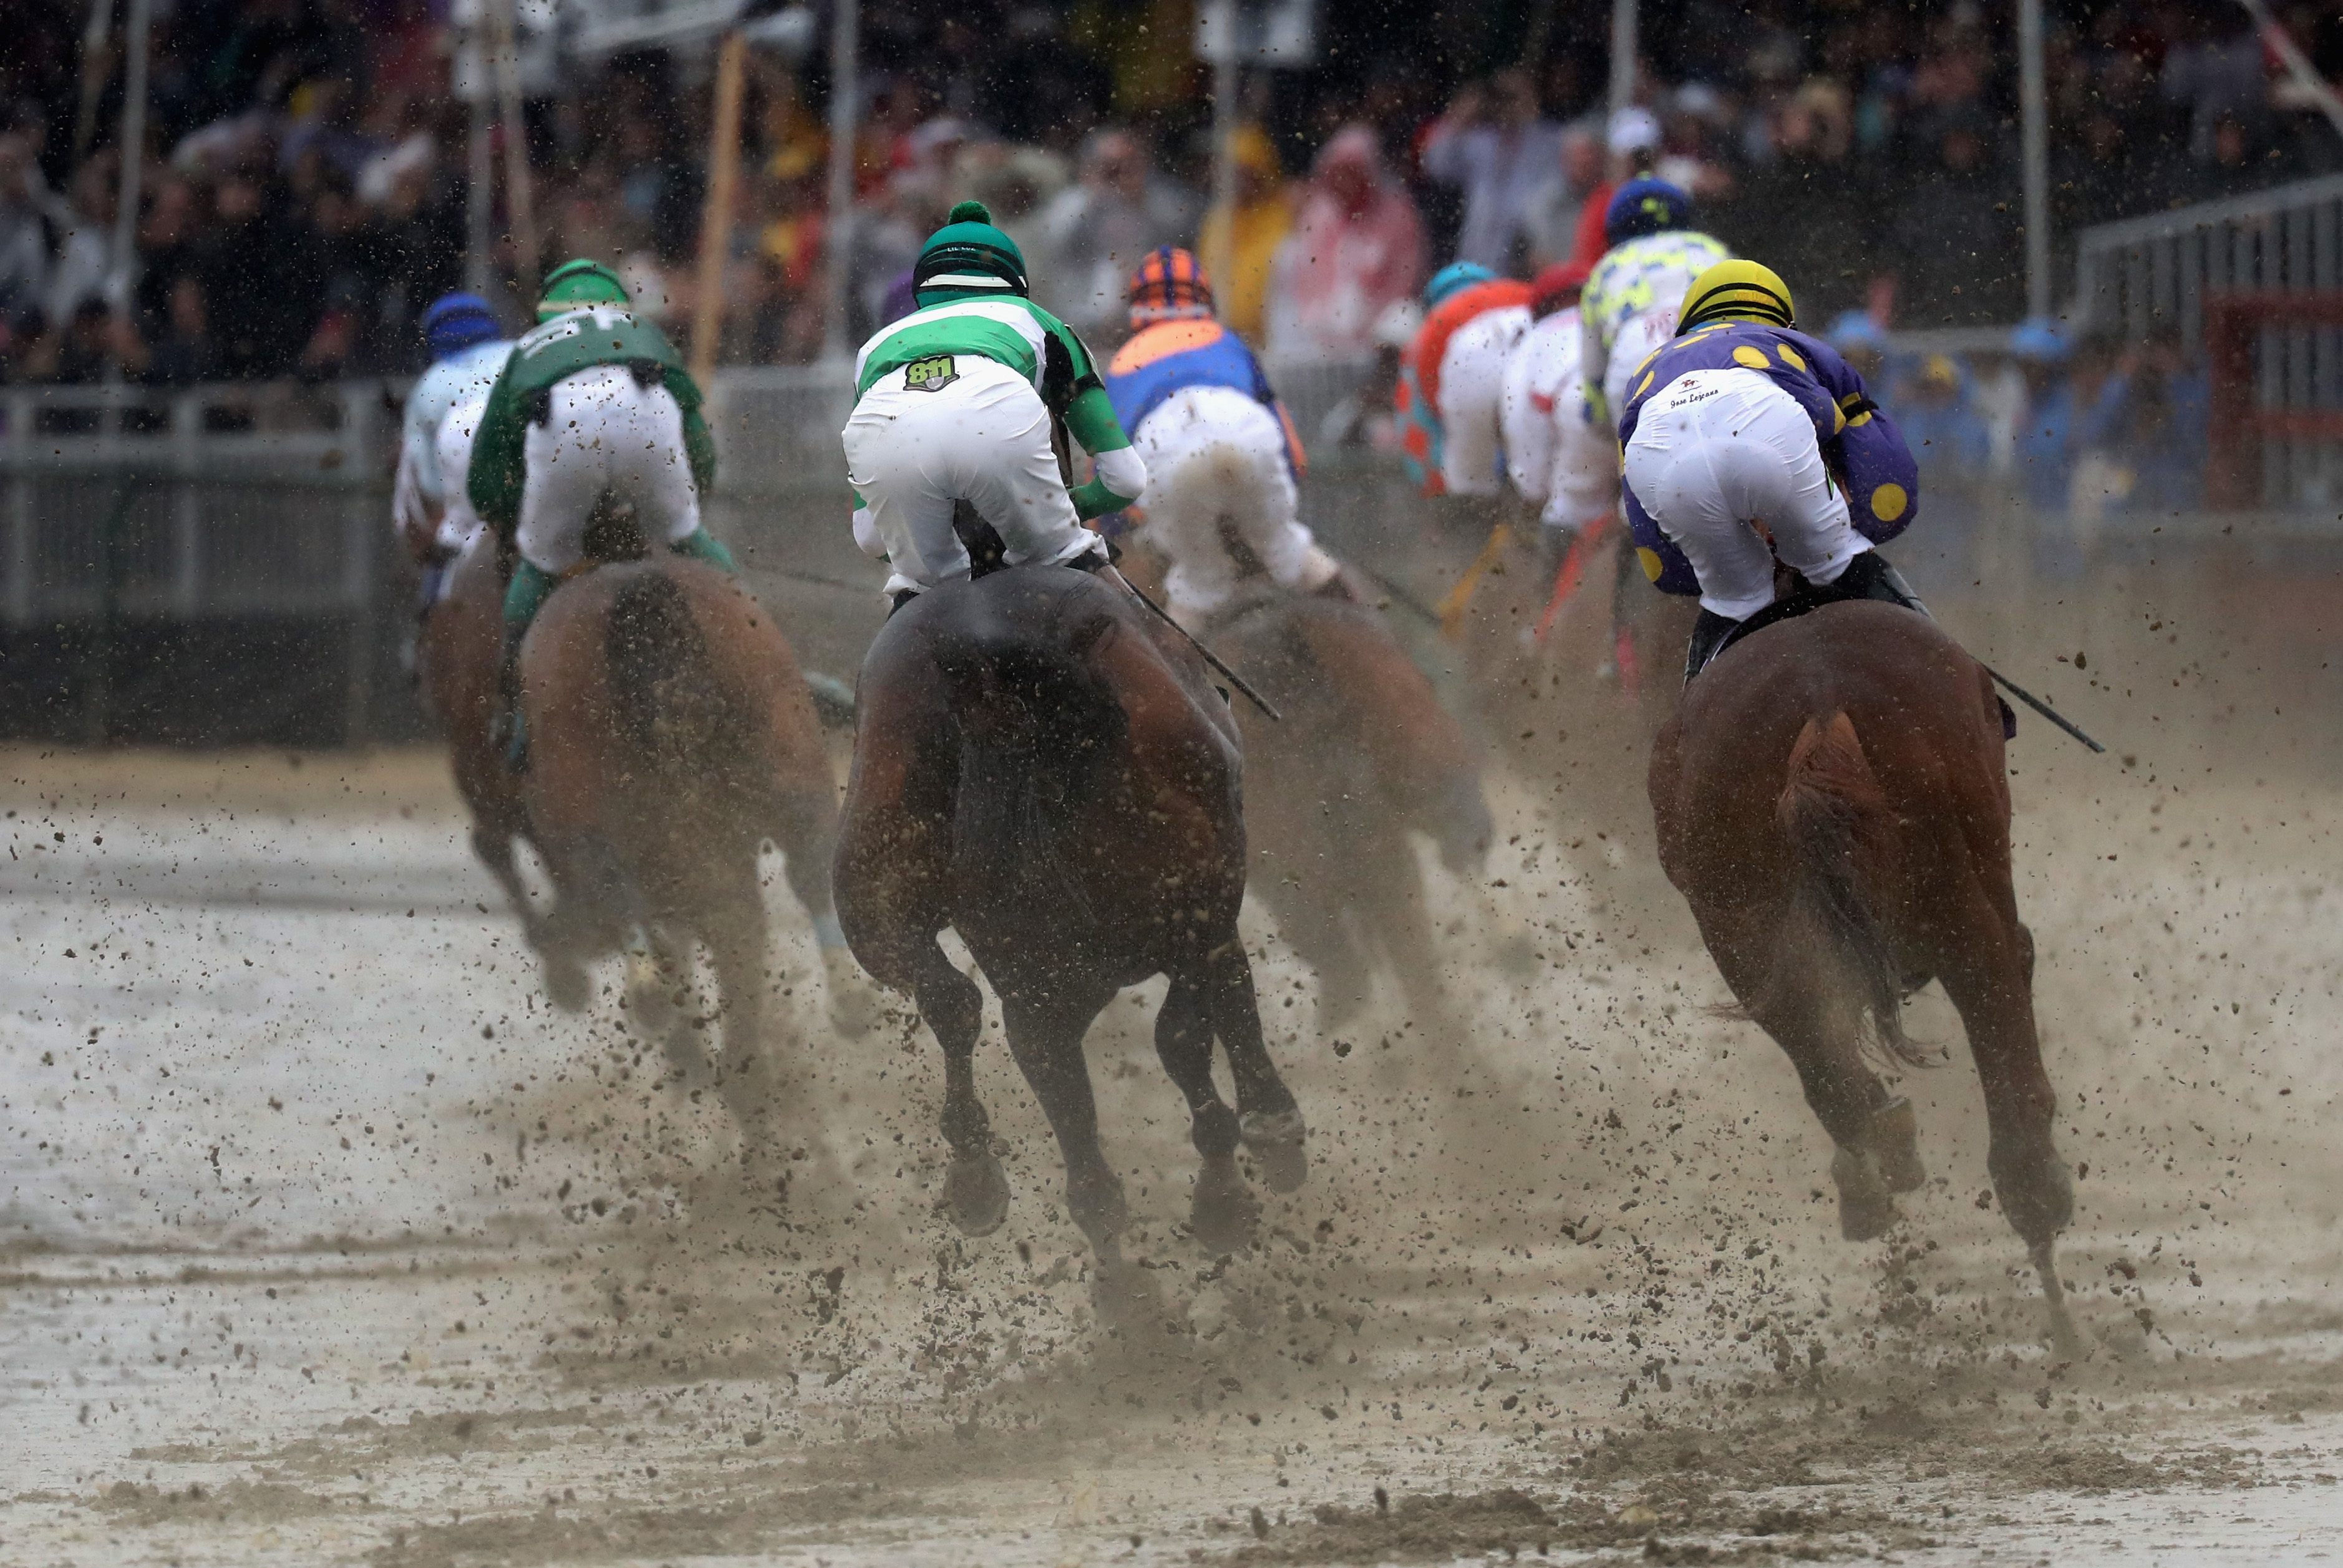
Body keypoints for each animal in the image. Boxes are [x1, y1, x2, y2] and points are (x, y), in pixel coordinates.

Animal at [838, 562, 1321, 1256]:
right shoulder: (1201, 907)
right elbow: (1207, 1015)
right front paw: (1253, 1150)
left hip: (881, 893)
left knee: (957, 1006)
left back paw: (976, 1173)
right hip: (1187, 893)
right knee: (1194, 1012)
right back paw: (1241, 1162)